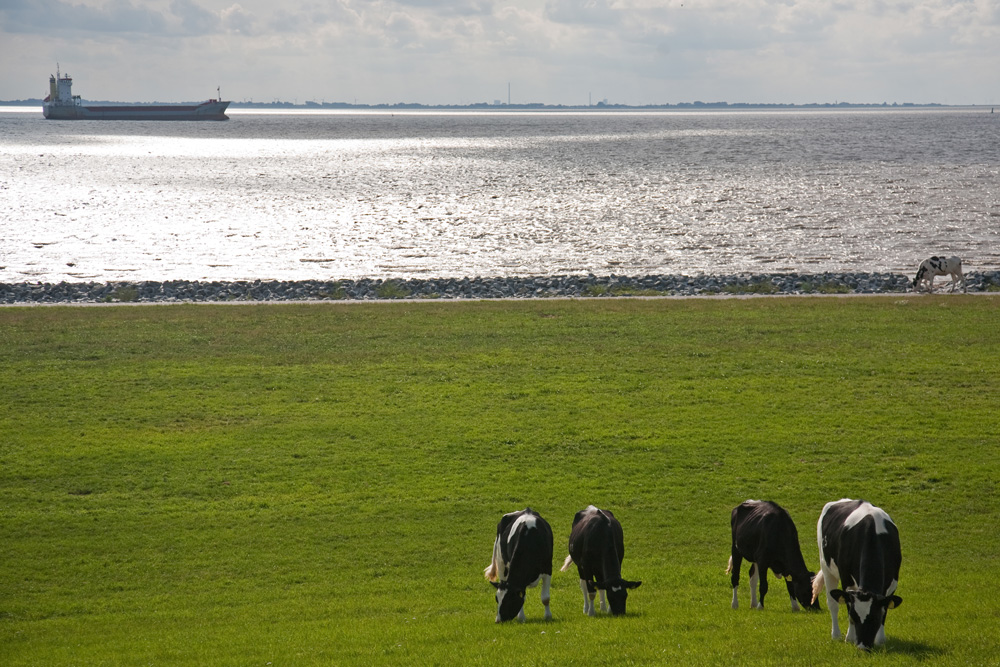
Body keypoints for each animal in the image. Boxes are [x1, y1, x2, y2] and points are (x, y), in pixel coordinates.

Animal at [808, 500, 904, 652]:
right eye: (854, 616)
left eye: (874, 618)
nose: (862, 647)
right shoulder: (846, 579)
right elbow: (847, 605)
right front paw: (850, 638)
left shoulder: (893, 581)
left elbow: (885, 609)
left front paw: (880, 640)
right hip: (826, 566)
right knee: (832, 603)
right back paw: (836, 634)